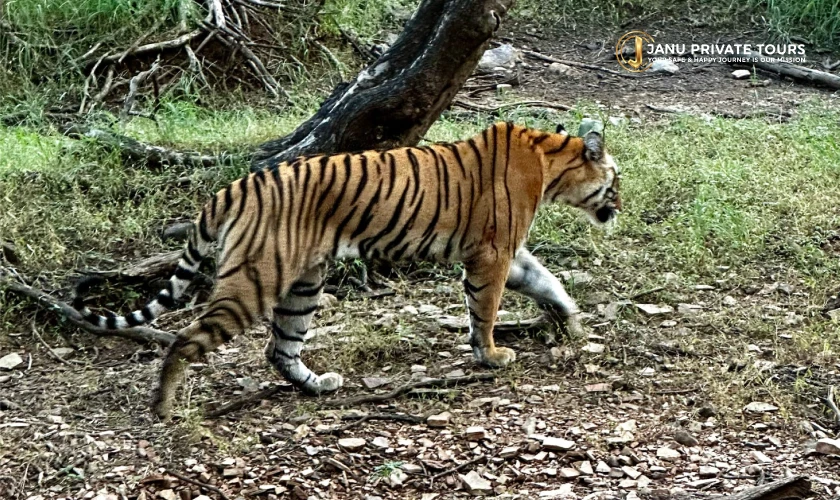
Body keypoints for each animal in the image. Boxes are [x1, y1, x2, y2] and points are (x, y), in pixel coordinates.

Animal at [73, 120, 621, 420]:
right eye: (614, 179)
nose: (620, 204)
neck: (550, 163)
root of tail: (234, 187)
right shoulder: (493, 250)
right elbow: (485, 307)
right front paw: (491, 355)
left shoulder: (511, 250)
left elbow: (548, 281)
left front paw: (572, 322)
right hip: (253, 282)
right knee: (186, 339)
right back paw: (164, 409)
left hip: (303, 283)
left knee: (280, 347)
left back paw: (318, 385)